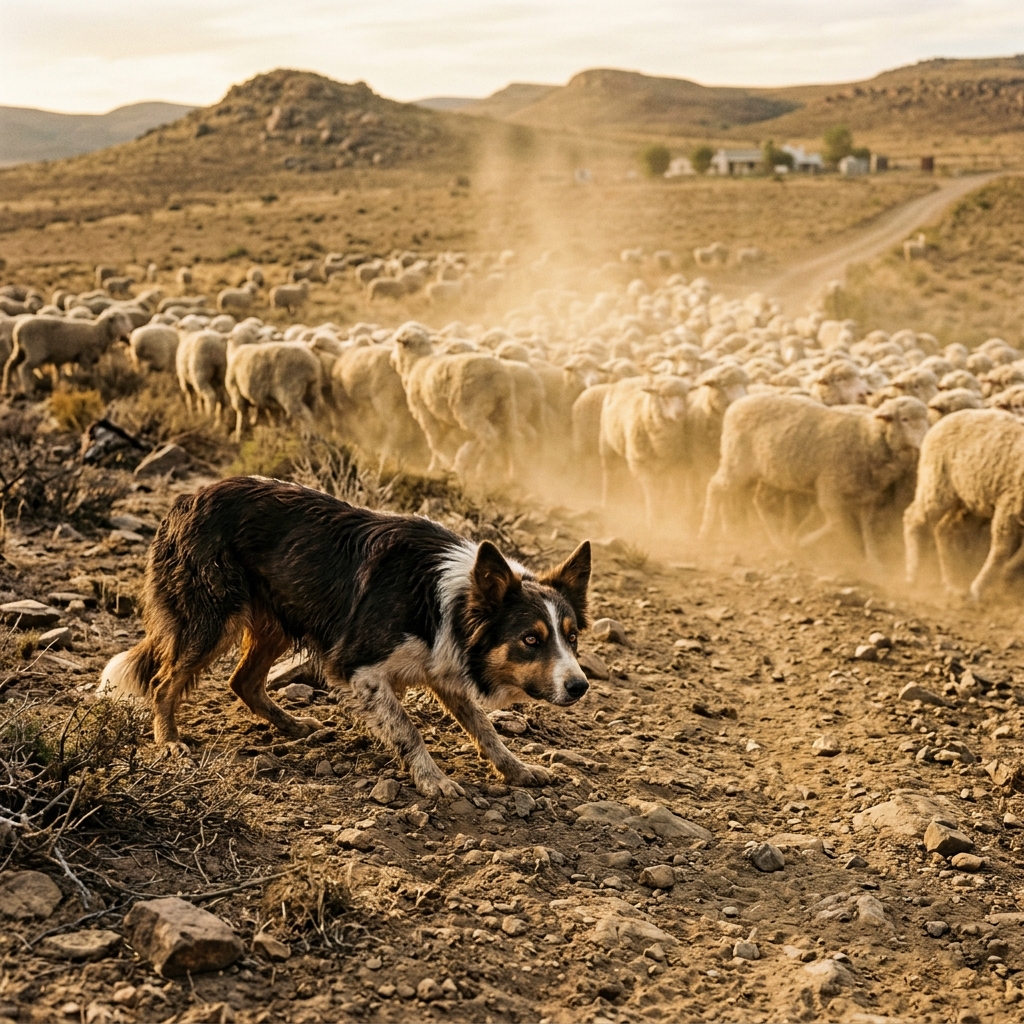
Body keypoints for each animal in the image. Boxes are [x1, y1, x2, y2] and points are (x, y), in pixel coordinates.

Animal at [3, 309, 133, 396]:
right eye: (121, 319)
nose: (131, 328)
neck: (98, 331)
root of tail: (18, 330)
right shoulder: (85, 356)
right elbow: (89, 373)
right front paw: (94, 386)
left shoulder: (85, 358)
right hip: (35, 351)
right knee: (23, 368)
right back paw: (28, 391)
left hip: (20, 350)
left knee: (10, 365)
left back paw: (7, 389)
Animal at [701, 393, 929, 567]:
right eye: (905, 419)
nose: (926, 439)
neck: (867, 437)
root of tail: (737, 403)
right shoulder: (830, 491)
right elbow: (836, 524)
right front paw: (800, 541)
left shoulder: (867, 497)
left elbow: (867, 529)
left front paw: (873, 562)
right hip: (736, 463)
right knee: (715, 486)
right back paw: (706, 533)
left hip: (773, 474)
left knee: (762, 502)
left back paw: (779, 544)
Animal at [904, 408, 1024, 601]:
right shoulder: (1010, 503)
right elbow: (1001, 549)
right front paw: (978, 588)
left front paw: (1007, 573)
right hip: (937, 482)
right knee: (913, 518)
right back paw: (912, 574)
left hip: (967, 499)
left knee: (943, 530)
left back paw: (951, 583)